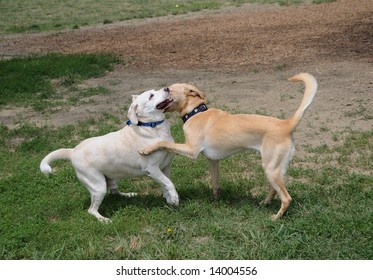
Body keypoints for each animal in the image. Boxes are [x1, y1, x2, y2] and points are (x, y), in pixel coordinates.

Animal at [40, 86, 177, 222]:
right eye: (151, 96)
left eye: (155, 90)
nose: (167, 88)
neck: (151, 127)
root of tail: (72, 151)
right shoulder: (152, 169)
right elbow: (169, 183)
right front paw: (175, 199)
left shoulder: (165, 166)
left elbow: (166, 184)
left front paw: (169, 199)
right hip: (99, 187)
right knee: (91, 210)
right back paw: (104, 219)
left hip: (112, 179)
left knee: (114, 193)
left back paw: (129, 195)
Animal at [140, 73, 316, 220]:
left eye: (169, 89)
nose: (162, 88)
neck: (196, 112)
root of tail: (286, 124)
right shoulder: (212, 161)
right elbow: (215, 182)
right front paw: (215, 199)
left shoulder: (191, 150)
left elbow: (164, 143)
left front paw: (146, 149)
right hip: (275, 168)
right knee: (276, 190)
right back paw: (265, 203)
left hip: (270, 168)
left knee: (286, 198)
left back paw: (276, 217)